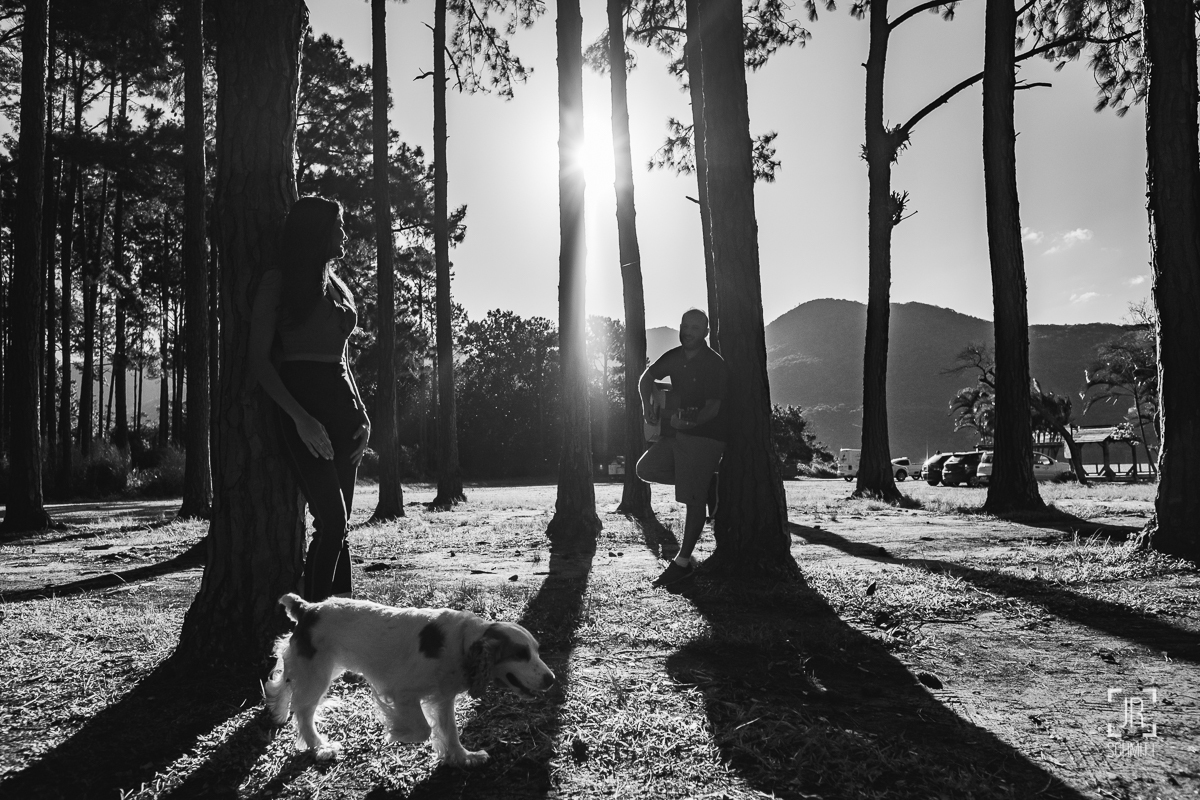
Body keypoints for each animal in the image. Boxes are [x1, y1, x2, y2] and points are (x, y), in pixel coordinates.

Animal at [264, 593, 555, 766]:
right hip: (318, 673)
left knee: (283, 685)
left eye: (537, 651)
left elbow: (450, 731)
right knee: (303, 711)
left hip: (318, 667)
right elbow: (423, 729)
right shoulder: (403, 692)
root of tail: (307, 608)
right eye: (520, 654)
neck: (462, 644)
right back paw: (321, 747)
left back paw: (278, 712)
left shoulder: (444, 698)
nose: (551, 679)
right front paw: (396, 732)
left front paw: (463, 757)